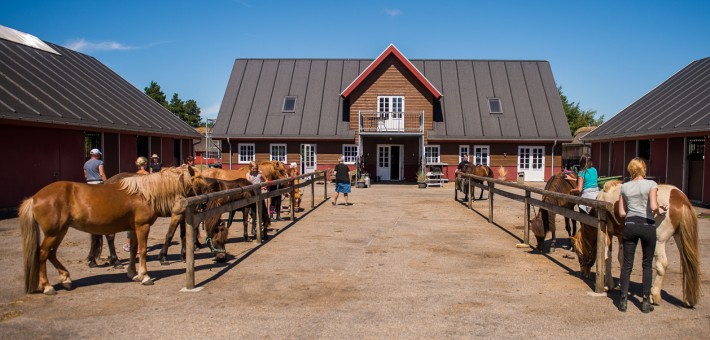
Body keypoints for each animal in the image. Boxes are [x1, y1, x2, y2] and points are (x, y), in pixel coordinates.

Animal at [20, 166, 203, 294]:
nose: (201, 204)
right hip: (53, 232)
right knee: (42, 253)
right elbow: (145, 249)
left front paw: (133, 274)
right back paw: (47, 286)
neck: (146, 193)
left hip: (60, 231)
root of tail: (34, 197)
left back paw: (67, 278)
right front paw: (146, 276)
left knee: (51, 253)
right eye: (198, 184)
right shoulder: (143, 226)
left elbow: (134, 250)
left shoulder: (134, 228)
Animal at [572, 182, 704, 310]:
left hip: (659, 241)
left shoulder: (608, 231)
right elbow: (622, 258)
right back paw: (688, 300)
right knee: (688, 263)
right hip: (679, 237)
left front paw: (608, 285)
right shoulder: (622, 234)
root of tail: (681, 199)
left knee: (662, 264)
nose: (583, 274)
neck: (604, 198)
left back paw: (653, 295)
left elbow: (607, 257)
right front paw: (621, 284)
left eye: (579, 253)